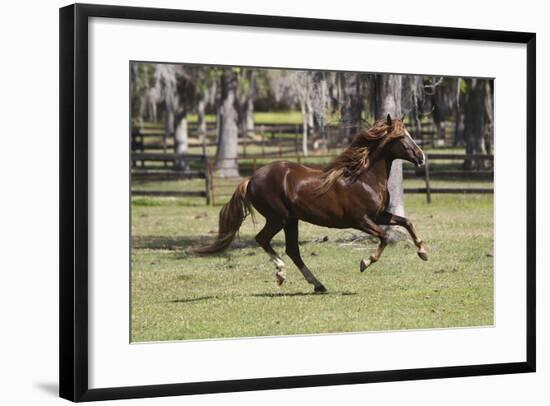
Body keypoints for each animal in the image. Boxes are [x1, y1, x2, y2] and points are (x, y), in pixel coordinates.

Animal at [194, 114, 432, 292]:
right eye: (401, 137)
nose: (422, 157)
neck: (363, 178)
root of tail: (250, 179)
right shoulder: (361, 220)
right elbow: (383, 237)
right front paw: (365, 262)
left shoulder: (379, 215)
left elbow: (407, 222)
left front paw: (423, 252)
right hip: (278, 219)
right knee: (263, 239)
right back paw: (281, 273)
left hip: (291, 220)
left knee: (292, 250)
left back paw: (317, 284)